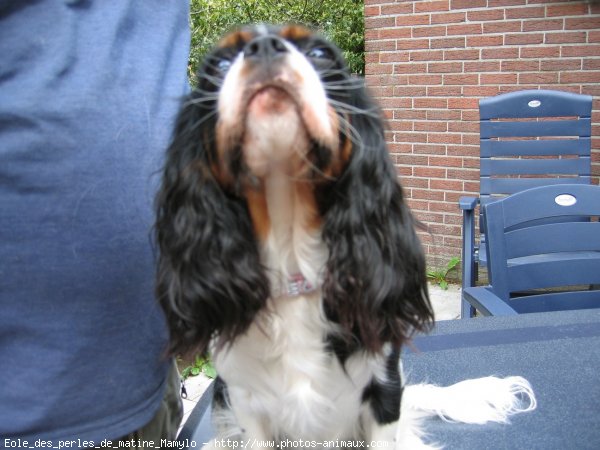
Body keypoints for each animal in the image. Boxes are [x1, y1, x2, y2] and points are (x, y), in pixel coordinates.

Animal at [154, 25, 536, 450]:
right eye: (220, 64)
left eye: (320, 53)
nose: (265, 47)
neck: (294, 267)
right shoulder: (246, 404)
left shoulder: (384, 388)